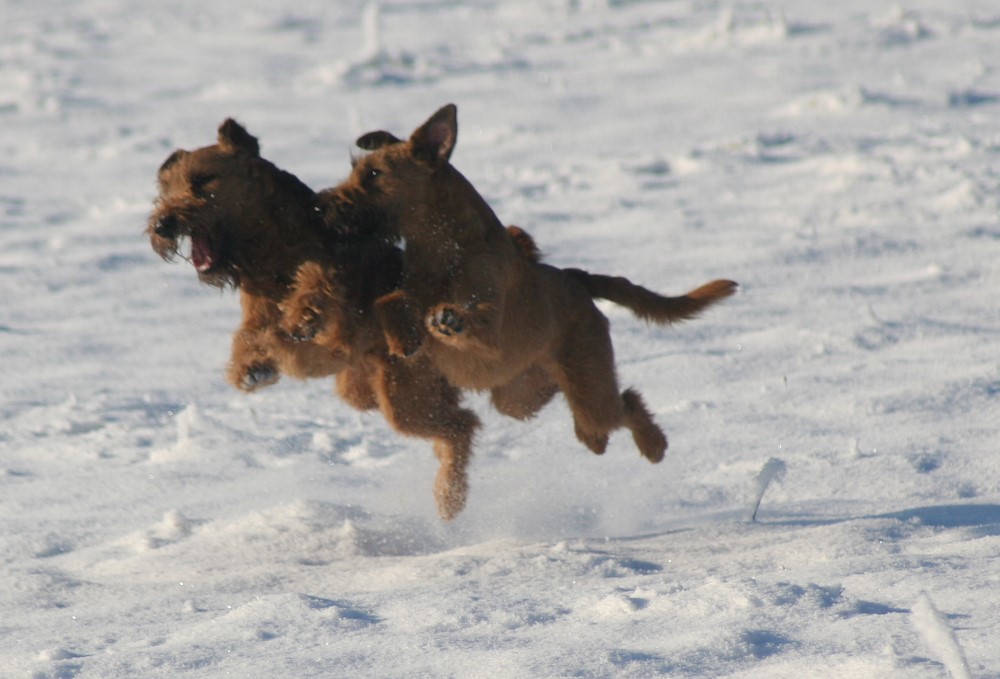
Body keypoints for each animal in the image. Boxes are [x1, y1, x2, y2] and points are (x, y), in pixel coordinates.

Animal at [302, 103, 736, 468]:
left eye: (373, 174)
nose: (320, 205)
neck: (447, 249)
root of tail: (575, 278)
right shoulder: (413, 290)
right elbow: (390, 301)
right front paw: (403, 338)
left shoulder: (490, 330)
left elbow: (468, 317)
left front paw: (447, 321)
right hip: (518, 395)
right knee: (583, 412)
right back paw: (598, 440)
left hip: (588, 385)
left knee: (625, 404)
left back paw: (653, 445)